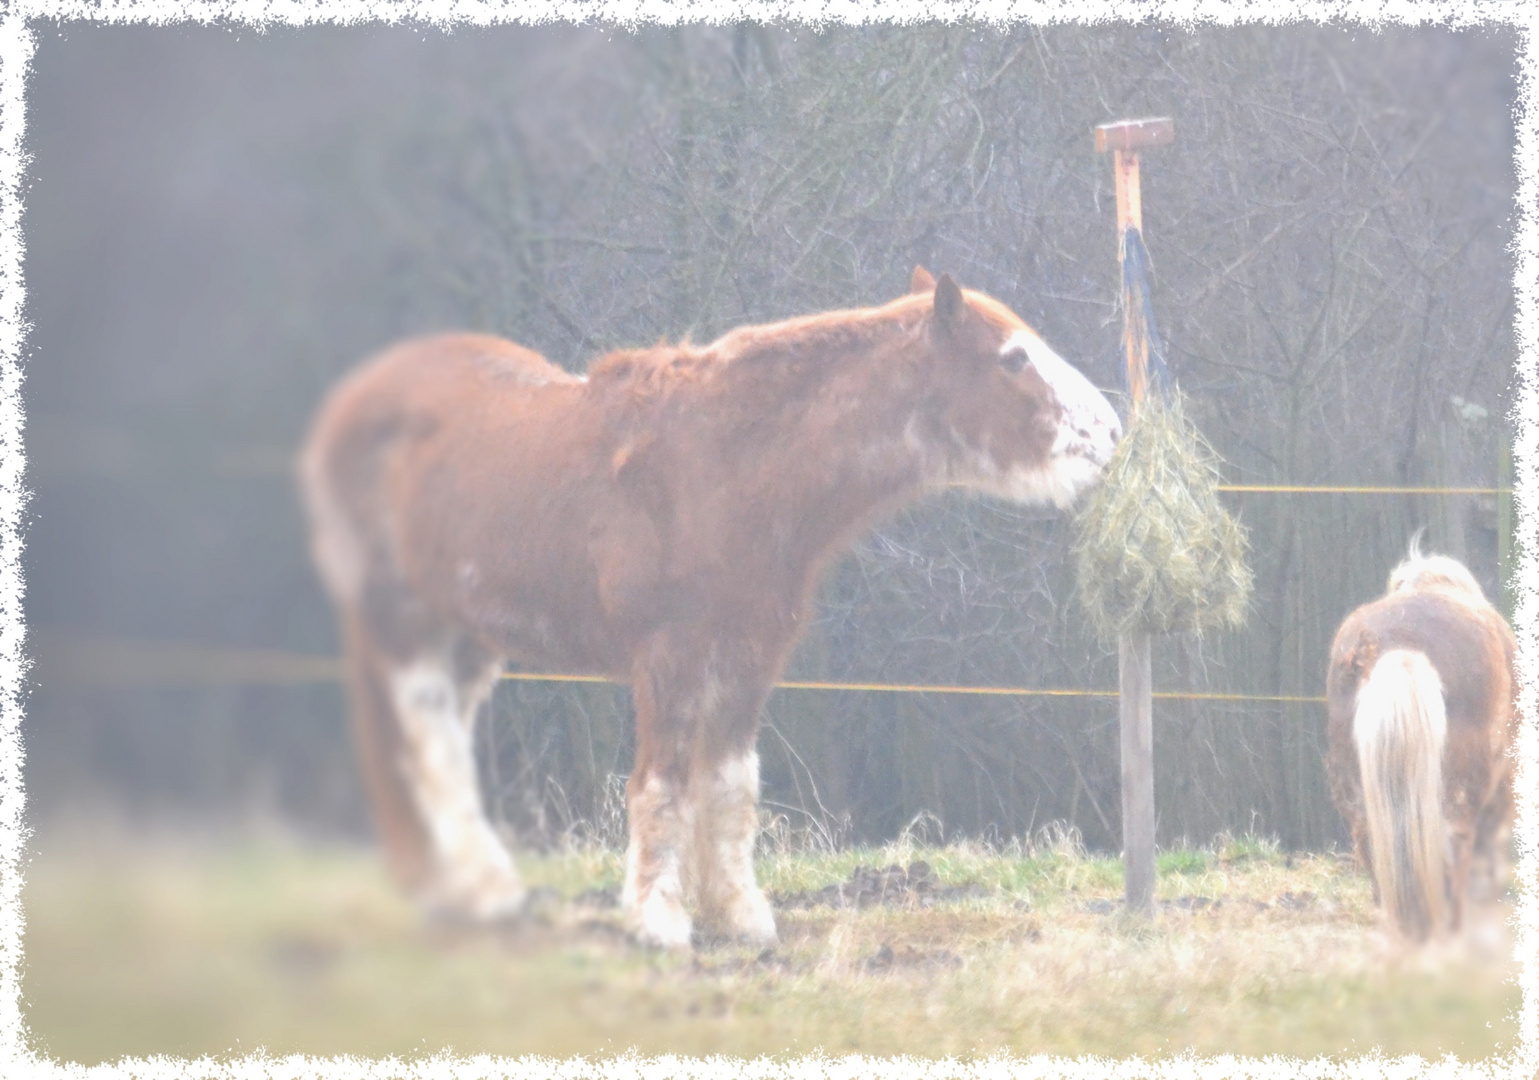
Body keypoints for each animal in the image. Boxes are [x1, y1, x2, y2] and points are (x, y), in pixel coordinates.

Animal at [300, 270, 1120, 947]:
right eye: (1013, 359)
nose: (1111, 434)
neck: (726, 467)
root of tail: (353, 401)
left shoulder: (751, 657)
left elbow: (729, 785)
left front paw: (737, 914)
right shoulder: (669, 658)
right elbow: (662, 785)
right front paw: (658, 918)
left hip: (467, 631)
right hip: (400, 620)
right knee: (423, 739)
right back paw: (471, 890)